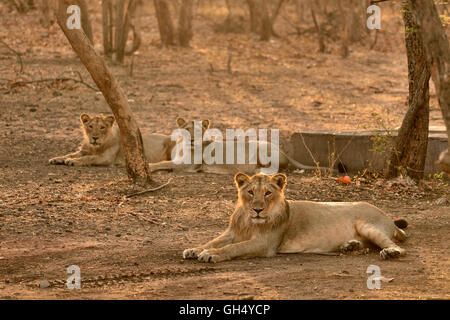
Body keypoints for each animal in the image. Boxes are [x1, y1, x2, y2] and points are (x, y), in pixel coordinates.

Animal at [183, 172, 408, 262]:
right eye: (250, 192)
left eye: (267, 193)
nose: (257, 210)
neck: (249, 222)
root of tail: (388, 217)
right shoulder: (231, 233)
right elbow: (212, 241)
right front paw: (195, 249)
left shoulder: (264, 244)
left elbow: (234, 248)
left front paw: (211, 255)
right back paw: (349, 246)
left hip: (368, 226)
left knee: (397, 246)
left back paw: (391, 253)